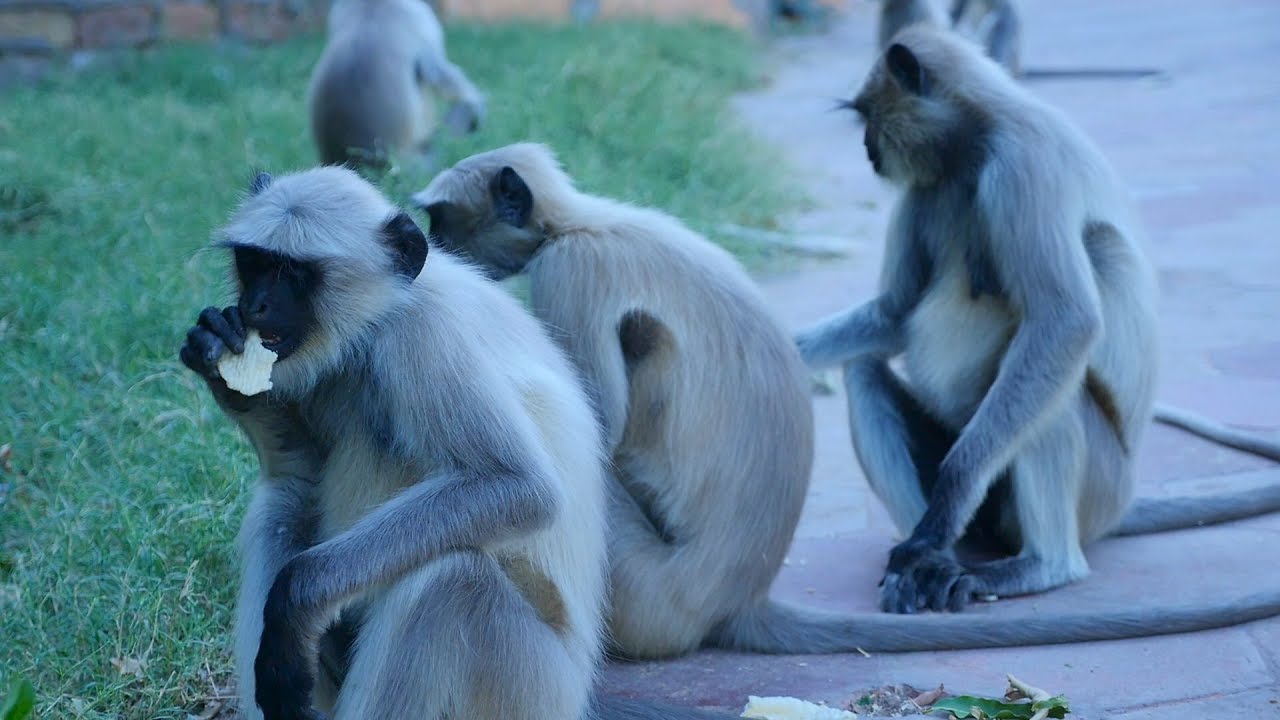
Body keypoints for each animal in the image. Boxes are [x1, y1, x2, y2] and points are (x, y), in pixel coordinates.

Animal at [178, 167, 737, 720]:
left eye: (295, 275)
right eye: (254, 263)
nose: (255, 306)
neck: (382, 315)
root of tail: (576, 697)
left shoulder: (423, 338)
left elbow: (520, 488)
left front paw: (295, 600)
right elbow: (303, 475)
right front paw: (221, 360)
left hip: (529, 685)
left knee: (450, 578)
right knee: (284, 505)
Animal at [409, 142, 1280, 657]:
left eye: (442, 218)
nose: (426, 251)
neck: (586, 224)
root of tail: (739, 598)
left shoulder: (572, 275)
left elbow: (597, 429)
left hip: (642, 589)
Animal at [795, 26, 1280, 618]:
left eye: (870, 115)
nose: (867, 147)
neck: (976, 143)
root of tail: (1121, 504)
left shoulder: (1022, 166)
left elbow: (1064, 322)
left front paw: (942, 516)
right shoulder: (925, 188)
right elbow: (894, 314)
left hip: (1098, 486)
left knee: (1057, 379)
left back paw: (1037, 565)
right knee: (864, 369)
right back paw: (934, 557)